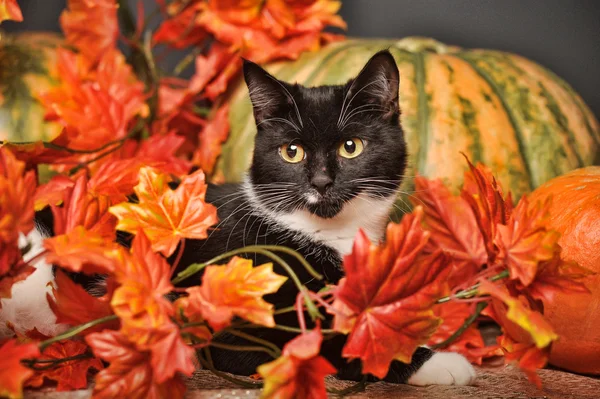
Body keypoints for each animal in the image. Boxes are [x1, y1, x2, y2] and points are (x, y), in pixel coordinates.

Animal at [2, 50, 476, 388]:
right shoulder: (233, 321)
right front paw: (440, 362)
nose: (322, 181)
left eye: (351, 146)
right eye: (291, 151)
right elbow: (334, 343)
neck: (326, 234)